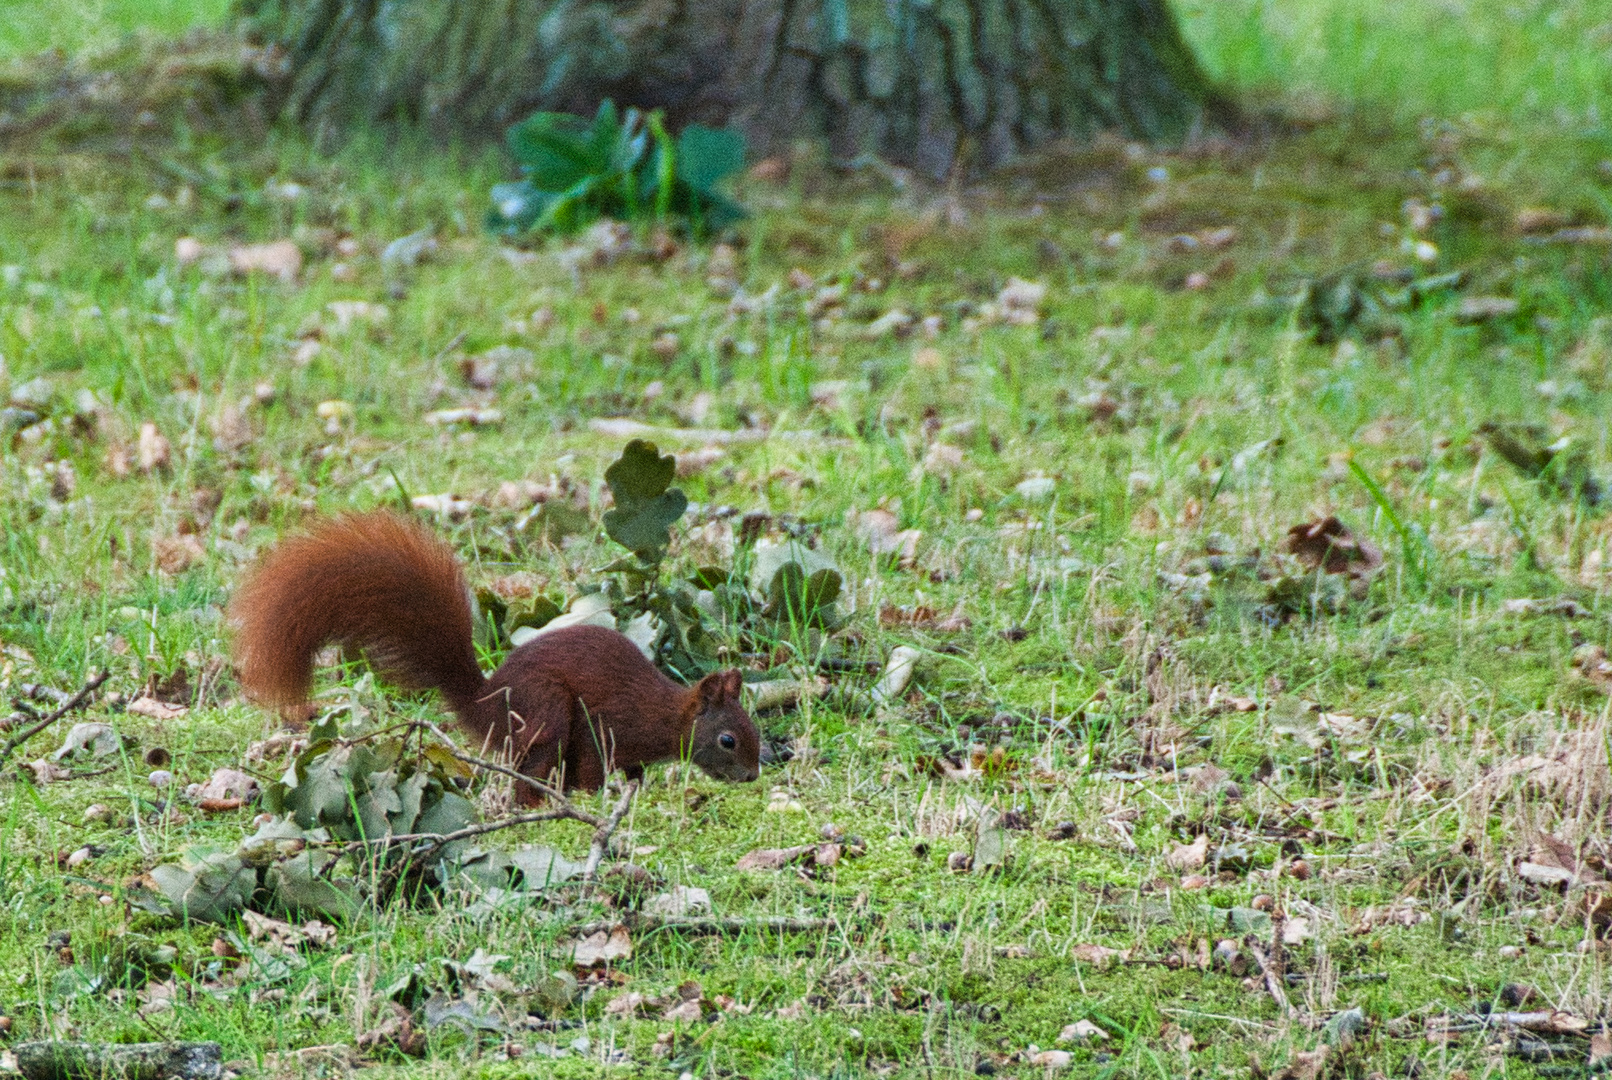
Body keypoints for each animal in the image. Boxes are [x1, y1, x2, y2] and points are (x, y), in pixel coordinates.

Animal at [228, 509, 760, 802]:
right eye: (728, 740)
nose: (754, 775)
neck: (664, 714)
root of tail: (486, 704)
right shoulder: (605, 727)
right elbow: (593, 766)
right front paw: (597, 799)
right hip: (547, 712)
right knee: (530, 774)